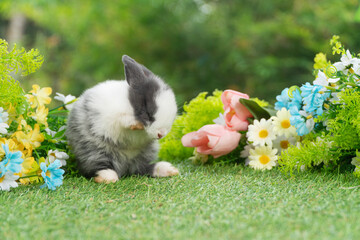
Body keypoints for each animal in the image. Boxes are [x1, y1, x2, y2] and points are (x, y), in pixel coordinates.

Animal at [65, 55, 179, 183]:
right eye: (148, 114)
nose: (161, 134)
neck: (131, 106)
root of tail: (124, 168)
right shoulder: (112, 116)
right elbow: (122, 120)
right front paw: (136, 124)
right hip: (93, 152)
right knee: (97, 167)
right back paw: (108, 178)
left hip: (145, 154)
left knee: (141, 168)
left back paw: (169, 170)